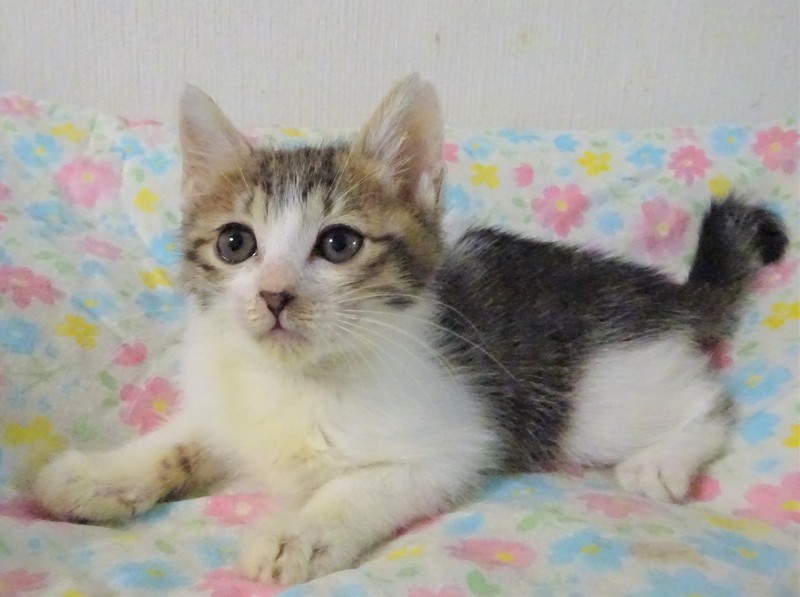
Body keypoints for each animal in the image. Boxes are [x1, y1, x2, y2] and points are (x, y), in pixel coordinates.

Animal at [32, 75, 788, 585]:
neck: (298, 380)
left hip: (609, 396)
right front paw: (99, 477)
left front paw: (297, 534)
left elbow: (359, 487)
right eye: (235, 243)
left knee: (712, 403)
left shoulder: (456, 442)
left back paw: (664, 458)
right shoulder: (230, 410)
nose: (274, 295)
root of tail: (668, 292)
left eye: (338, 244)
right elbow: (180, 441)